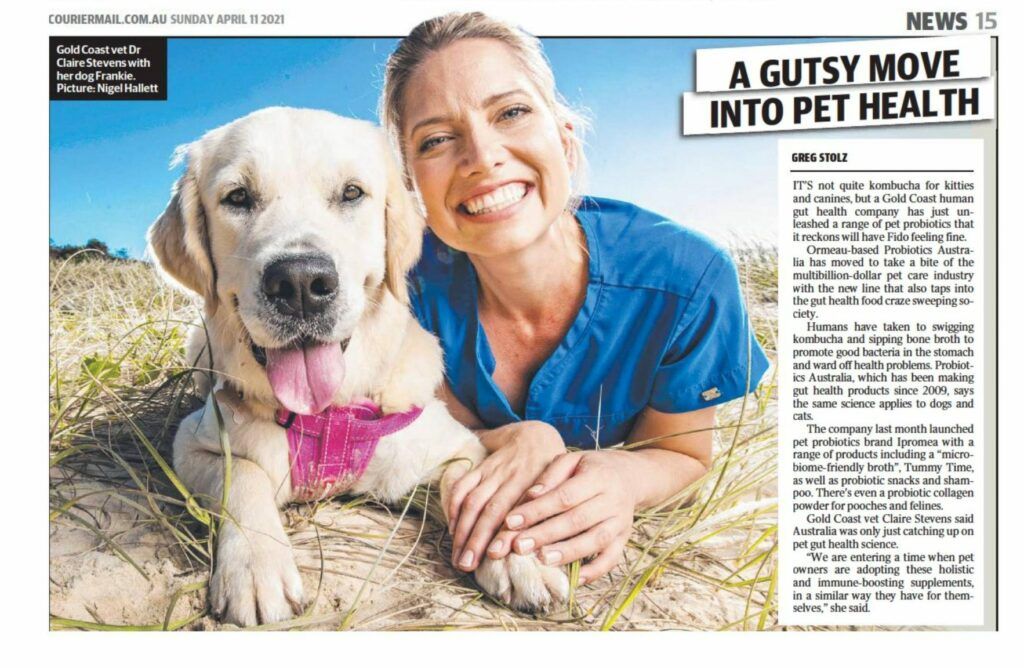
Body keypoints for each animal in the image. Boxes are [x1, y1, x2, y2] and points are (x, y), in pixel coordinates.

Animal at [148, 108, 569, 627]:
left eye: (352, 192)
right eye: (237, 197)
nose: (300, 283)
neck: (330, 415)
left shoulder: (455, 445)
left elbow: (476, 486)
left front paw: (514, 555)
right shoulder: (193, 442)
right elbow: (241, 475)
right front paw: (256, 568)